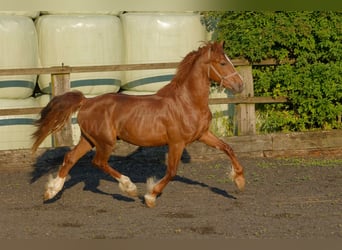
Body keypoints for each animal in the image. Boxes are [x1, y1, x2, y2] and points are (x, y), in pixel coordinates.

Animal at [32, 41, 244, 208]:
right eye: (222, 62)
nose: (240, 85)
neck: (187, 102)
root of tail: (86, 102)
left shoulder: (203, 134)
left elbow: (228, 148)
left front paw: (240, 181)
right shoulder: (177, 142)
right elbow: (172, 171)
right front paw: (150, 196)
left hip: (89, 139)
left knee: (70, 158)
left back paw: (51, 192)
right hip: (105, 142)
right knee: (99, 162)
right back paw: (130, 188)